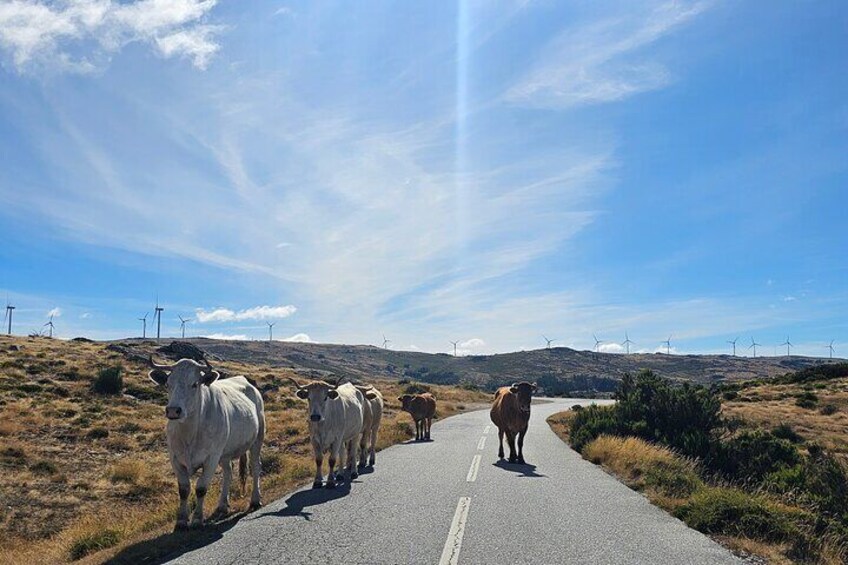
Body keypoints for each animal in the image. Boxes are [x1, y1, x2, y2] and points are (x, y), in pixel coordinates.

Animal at [148, 357, 264, 529]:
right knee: (228, 472)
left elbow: (201, 488)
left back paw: (255, 500)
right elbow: (184, 489)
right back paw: (222, 506)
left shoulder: (211, 458)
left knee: (255, 467)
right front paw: (181, 521)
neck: (189, 433)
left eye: (194, 384)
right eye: (168, 384)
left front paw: (197, 519)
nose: (173, 410)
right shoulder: (175, 458)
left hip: (257, 438)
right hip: (224, 452)